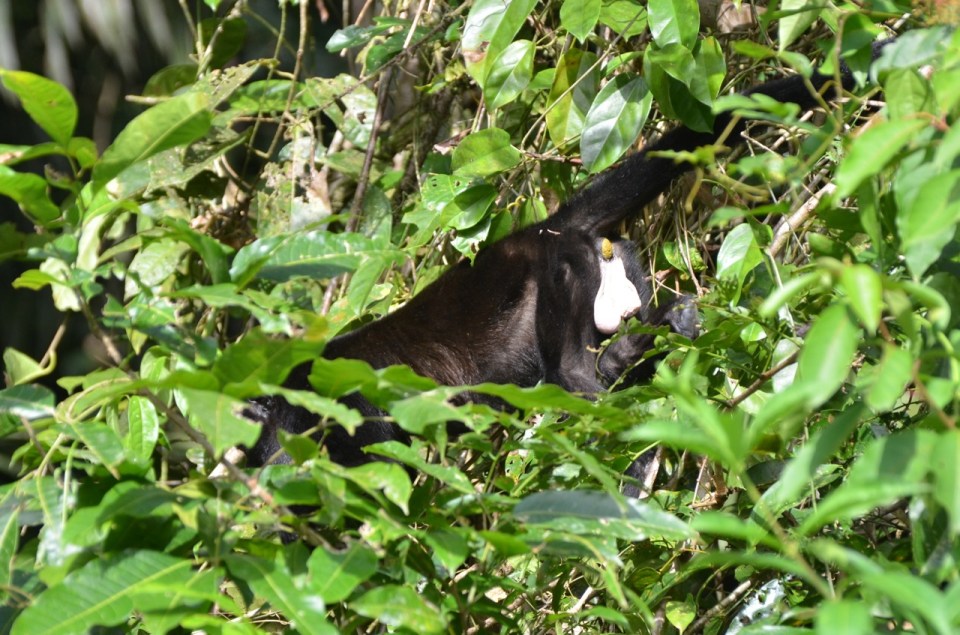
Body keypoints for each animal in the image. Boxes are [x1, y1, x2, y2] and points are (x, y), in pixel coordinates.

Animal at [246, 43, 884, 469]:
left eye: (258, 410)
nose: (246, 429)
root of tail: (549, 227)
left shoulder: (328, 400)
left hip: (565, 269)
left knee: (568, 367)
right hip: (617, 263)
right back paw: (661, 332)